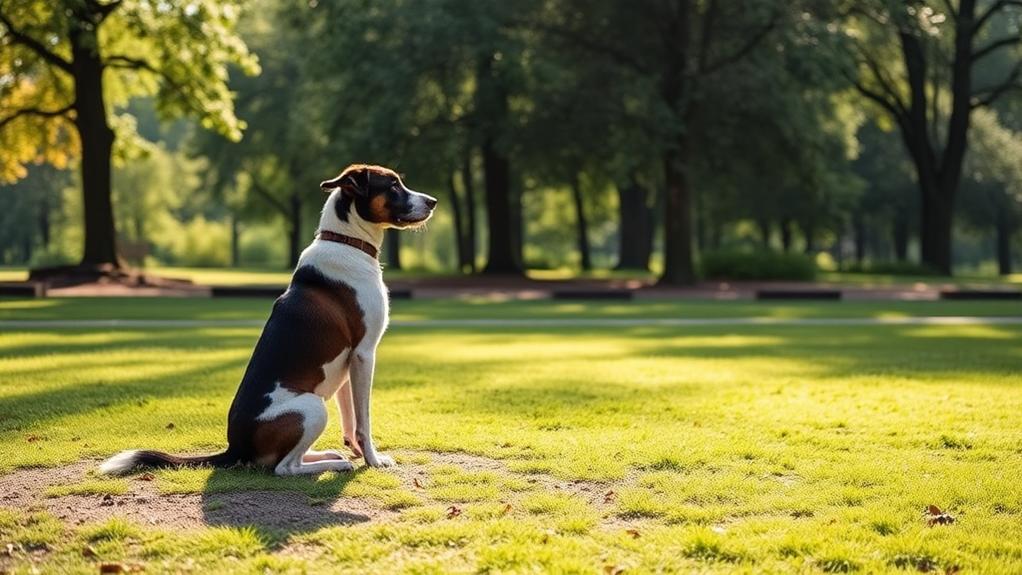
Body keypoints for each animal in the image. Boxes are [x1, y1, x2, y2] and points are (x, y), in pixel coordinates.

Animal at [101, 164, 437, 473]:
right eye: (392, 186)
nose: (433, 201)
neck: (346, 241)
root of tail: (235, 448)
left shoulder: (349, 361)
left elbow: (350, 418)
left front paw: (357, 451)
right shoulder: (365, 354)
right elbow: (363, 420)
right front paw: (373, 460)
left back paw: (327, 455)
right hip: (312, 407)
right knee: (284, 467)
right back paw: (332, 464)